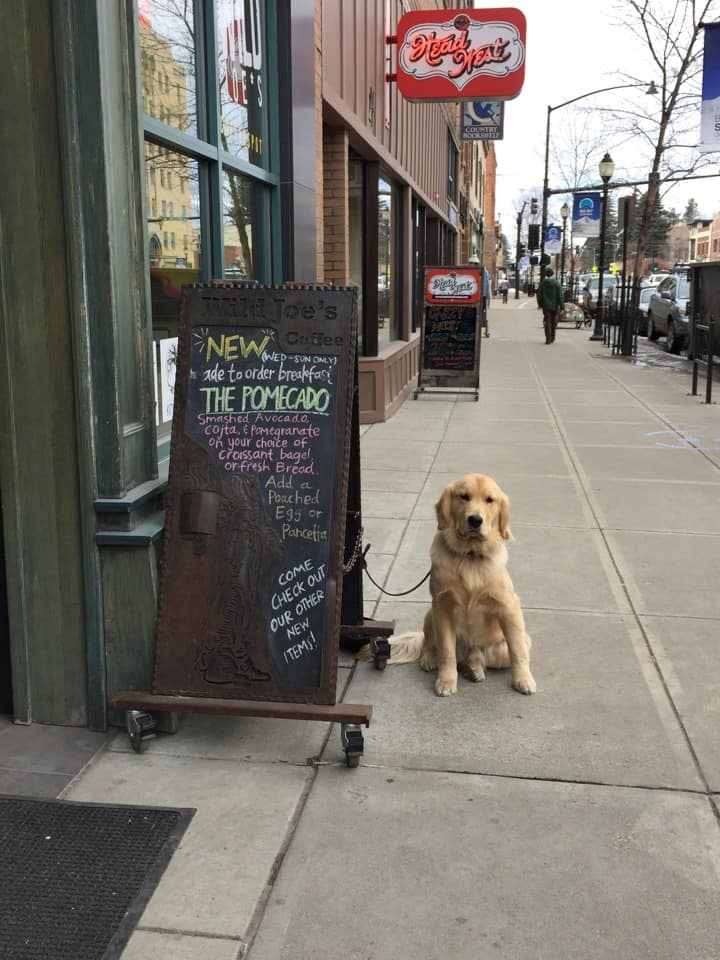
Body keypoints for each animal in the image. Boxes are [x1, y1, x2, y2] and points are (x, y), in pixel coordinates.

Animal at [356, 474, 536, 692]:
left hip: (502, 646)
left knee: (478, 656)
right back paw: (430, 660)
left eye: (489, 500)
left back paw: (474, 668)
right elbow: (446, 652)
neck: (470, 556)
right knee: (430, 645)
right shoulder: (442, 606)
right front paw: (446, 681)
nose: (475, 520)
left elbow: (517, 650)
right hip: (430, 614)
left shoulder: (509, 607)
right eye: (464, 497)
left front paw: (523, 679)